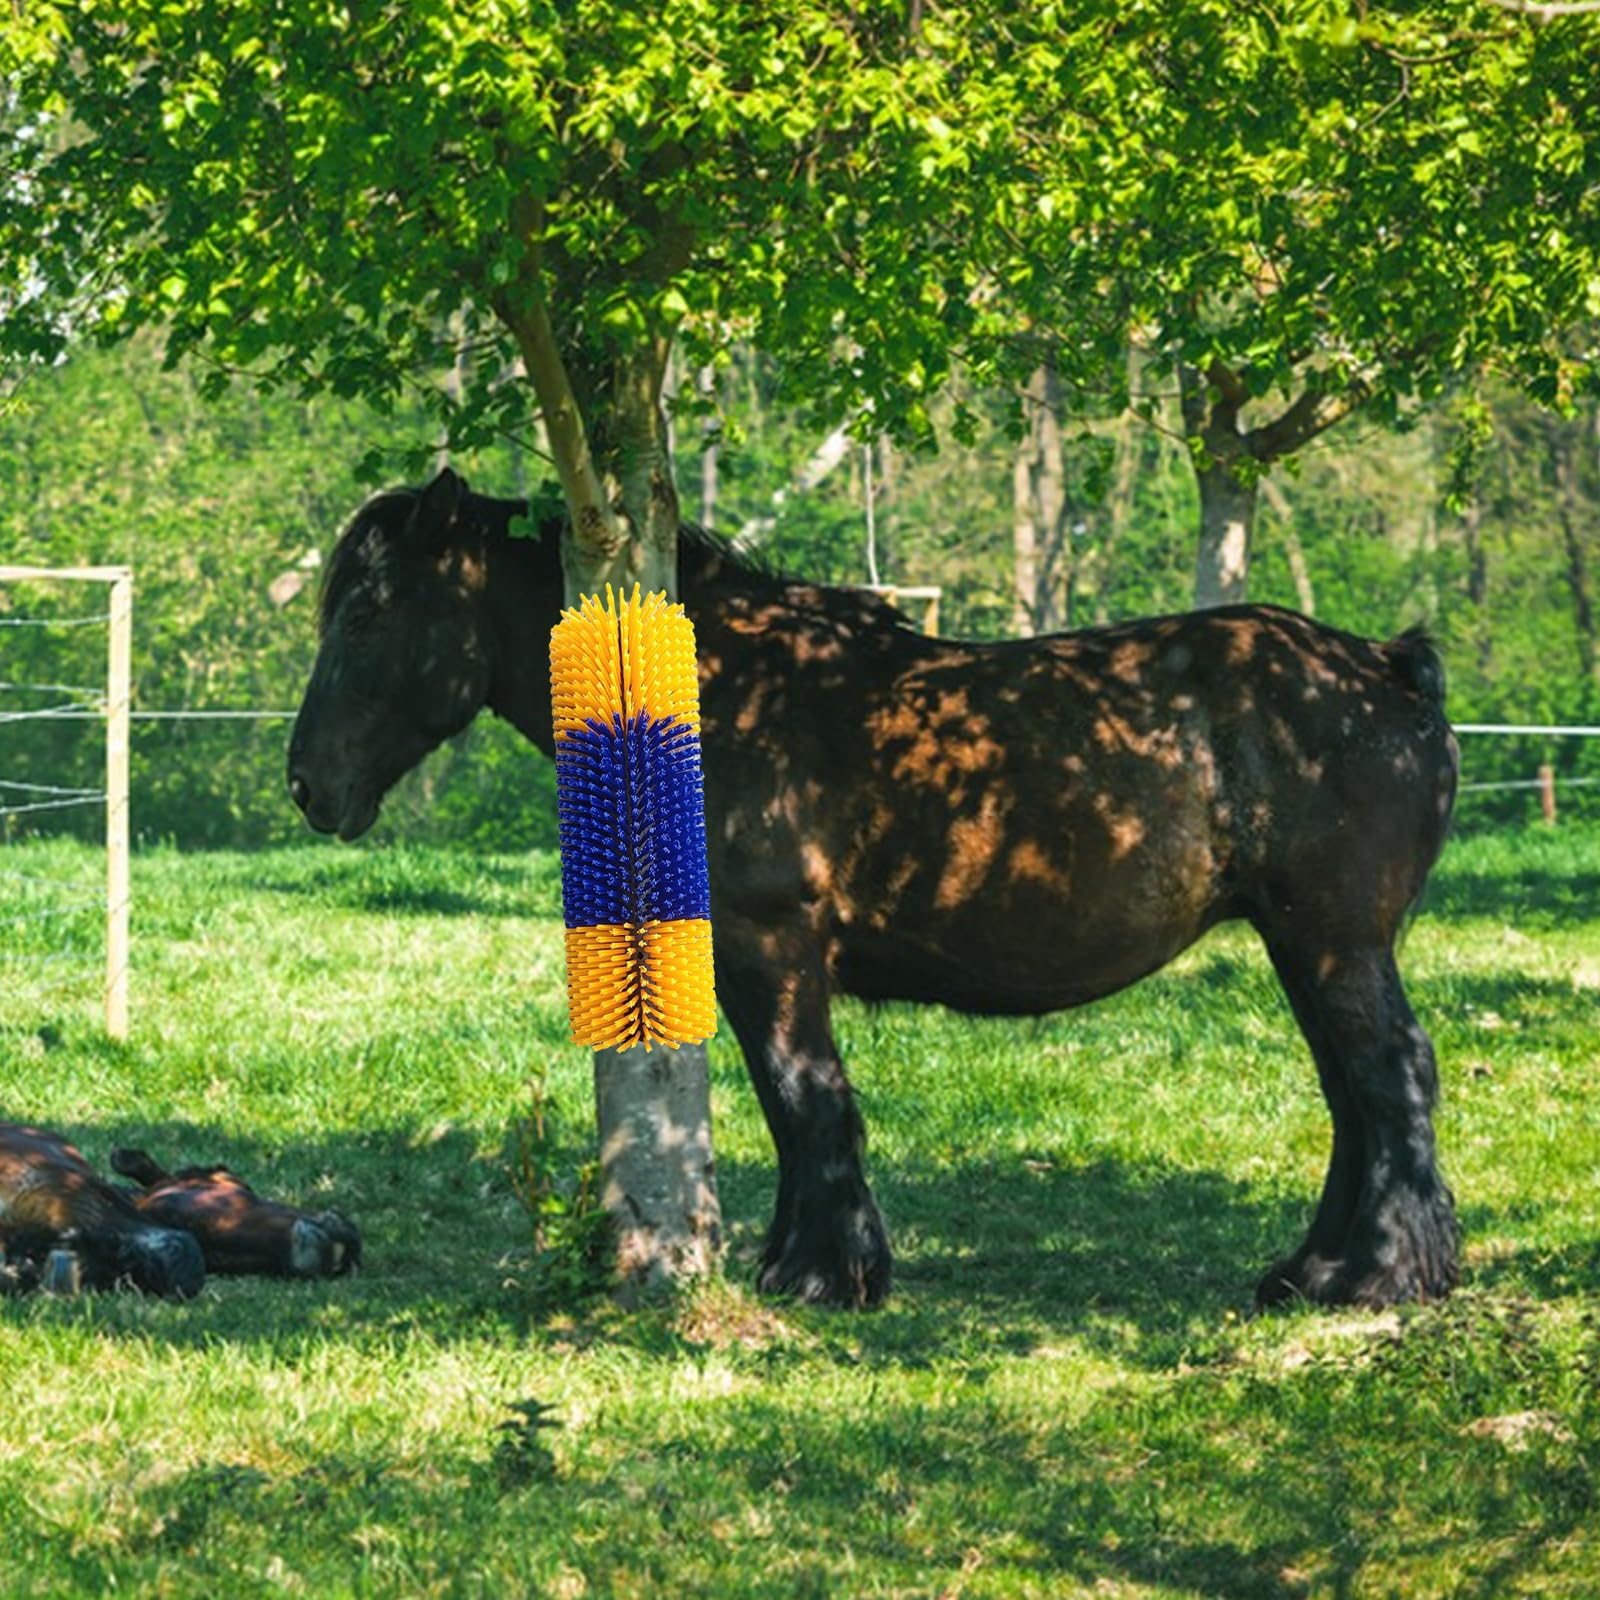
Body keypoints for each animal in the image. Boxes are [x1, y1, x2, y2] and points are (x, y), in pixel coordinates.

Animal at [288, 466, 1460, 1311]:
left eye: (367, 614)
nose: (307, 783)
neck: (723, 699)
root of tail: (1385, 668)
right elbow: (790, 1111)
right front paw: (802, 1260)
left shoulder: (770, 950)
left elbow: (807, 1099)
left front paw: (822, 1273)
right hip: (1303, 944)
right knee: (1353, 1097)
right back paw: (1309, 1272)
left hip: (1333, 941)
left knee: (1389, 1077)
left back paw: (1374, 1277)